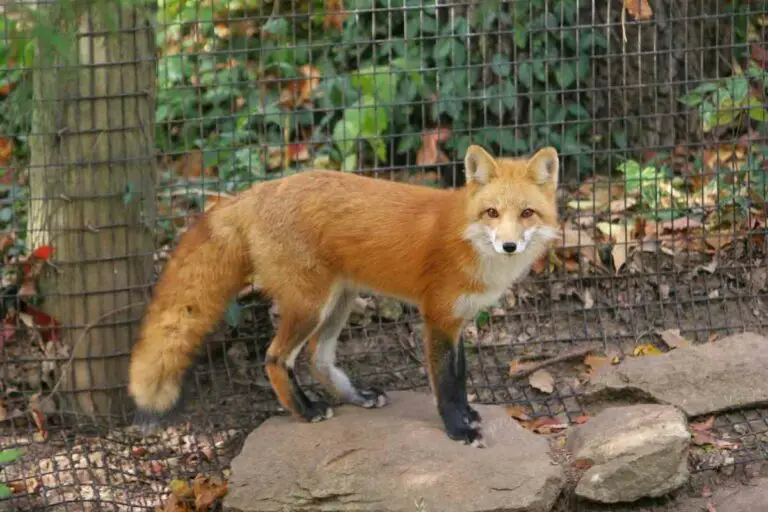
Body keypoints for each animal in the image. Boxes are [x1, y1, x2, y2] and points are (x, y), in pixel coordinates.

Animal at [128, 144, 561, 447]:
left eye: (526, 214)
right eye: (491, 213)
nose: (509, 246)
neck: (466, 237)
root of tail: (260, 189)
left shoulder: (457, 321)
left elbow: (459, 375)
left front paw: (468, 415)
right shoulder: (437, 316)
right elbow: (445, 384)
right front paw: (457, 429)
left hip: (339, 303)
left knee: (318, 359)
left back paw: (356, 396)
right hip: (310, 306)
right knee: (275, 358)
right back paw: (305, 410)